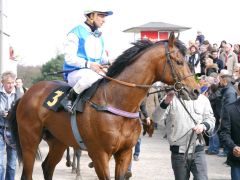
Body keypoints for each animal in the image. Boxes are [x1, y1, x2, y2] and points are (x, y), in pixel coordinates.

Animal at [8, 32, 199, 180]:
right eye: (179, 61)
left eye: (189, 61)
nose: (196, 90)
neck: (117, 102)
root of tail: (27, 93)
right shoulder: (99, 154)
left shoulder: (124, 152)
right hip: (30, 141)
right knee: (27, 173)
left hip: (58, 141)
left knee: (47, 167)